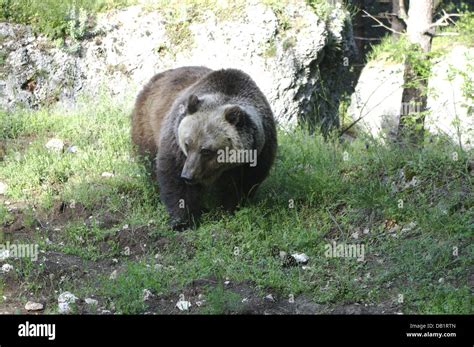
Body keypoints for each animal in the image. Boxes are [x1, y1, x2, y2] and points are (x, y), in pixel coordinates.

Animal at [131, 67, 278, 231]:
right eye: (187, 144)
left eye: (206, 150)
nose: (188, 176)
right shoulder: (175, 139)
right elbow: (173, 175)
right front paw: (182, 220)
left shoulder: (257, 153)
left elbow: (241, 185)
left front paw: (227, 211)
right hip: (147, 125)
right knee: (149, 162)